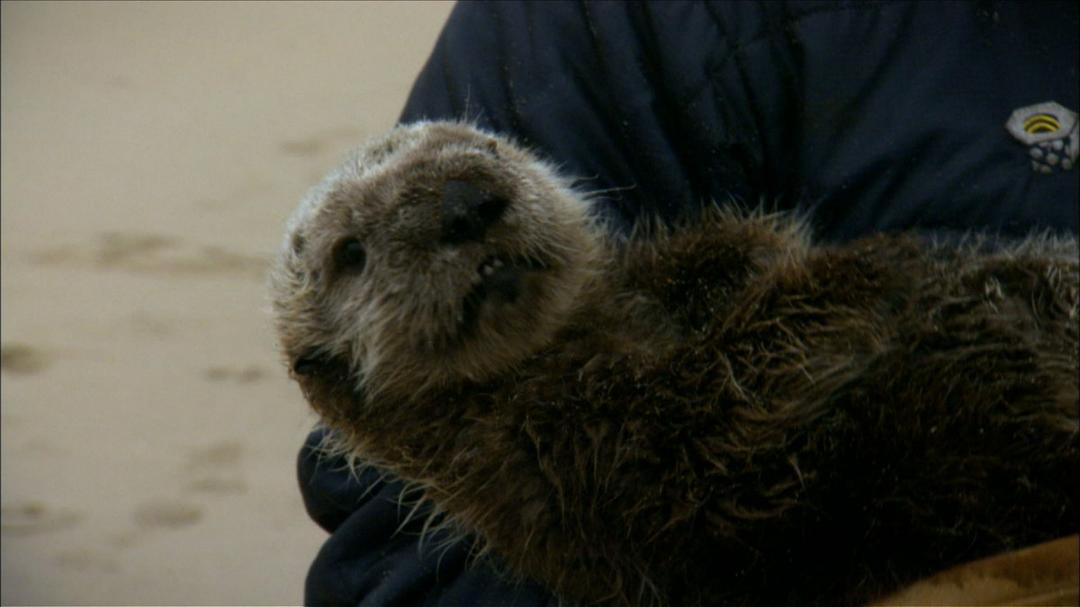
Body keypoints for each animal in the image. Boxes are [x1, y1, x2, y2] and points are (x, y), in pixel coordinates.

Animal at [269, 121, 1079, 607]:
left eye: (487, 151)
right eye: (350, 253)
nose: (465, 203)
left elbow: (720, 259)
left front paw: (738, 253)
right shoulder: (598, 467)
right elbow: (716, 409)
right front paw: (865, 269)